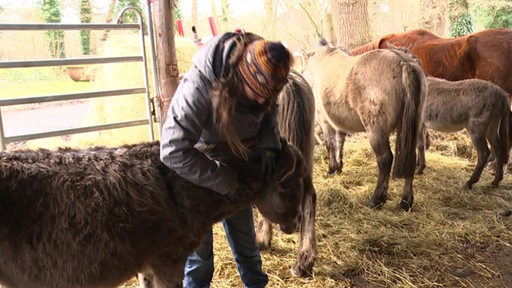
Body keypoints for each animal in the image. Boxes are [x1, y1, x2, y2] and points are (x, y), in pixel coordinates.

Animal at [302, 45, 426, 212]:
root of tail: (403, 62)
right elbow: (339, 143)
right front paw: (339, 166)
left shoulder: (324, 120)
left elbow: (330, 144)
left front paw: (332, 168)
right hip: (412, 128)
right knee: (411, 159)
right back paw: (406, 202)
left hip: (376, 130)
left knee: (385, 159)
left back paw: (377, 199)